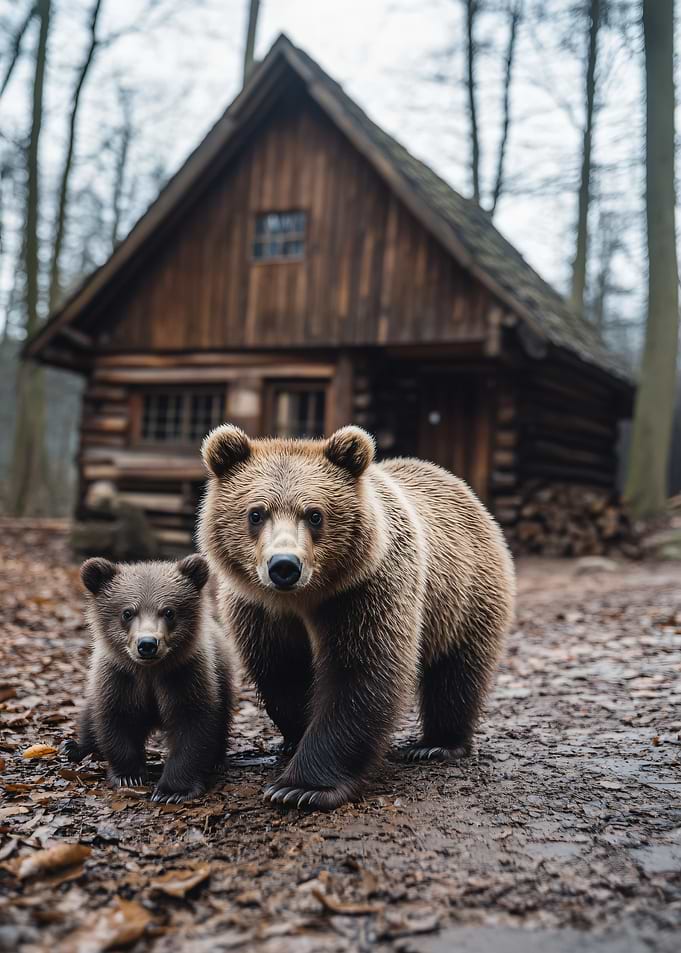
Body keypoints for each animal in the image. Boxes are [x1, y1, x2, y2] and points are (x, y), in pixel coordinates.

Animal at [63, 554, 234, 803]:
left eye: (169, 611)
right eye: (127, 612)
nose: (147, 644)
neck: (150, 672)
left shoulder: (185, 676)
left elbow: (192, 725)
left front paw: (172, 790)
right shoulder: (120, 678)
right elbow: (116, 720)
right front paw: (129, 775)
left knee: (221, 717)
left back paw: (217, 760)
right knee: (89, 715)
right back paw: (73, 747)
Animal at [198, 424, 515, 811]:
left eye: (314, 514)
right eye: (256, 513)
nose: (284, 566)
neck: (302, 600)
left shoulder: (364, 591)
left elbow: (360, 674)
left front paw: (301, 787)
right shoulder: (260, 612)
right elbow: (282, 672)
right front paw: (294, 738)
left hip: (464, 596)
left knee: (458, 672)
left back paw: (437, 744)